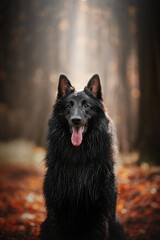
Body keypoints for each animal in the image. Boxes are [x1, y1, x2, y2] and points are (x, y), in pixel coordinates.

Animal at [40, 74, 125, 239]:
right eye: (69, 106)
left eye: (87, 106)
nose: (76, 120)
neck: (79, 157)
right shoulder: (56, 212)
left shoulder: (99, 213)